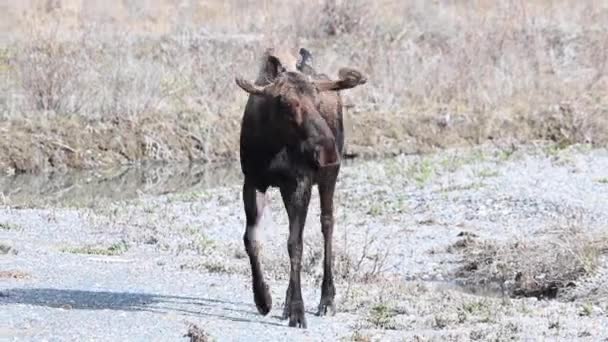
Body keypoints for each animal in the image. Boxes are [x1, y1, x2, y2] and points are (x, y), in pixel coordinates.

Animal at [234, 46, 366, 328]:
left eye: (317, 100)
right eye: (285, 103)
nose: (328, 152)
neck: (272, 146)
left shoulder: (300, 184)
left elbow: (295, 244)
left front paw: (297, 309)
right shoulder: (252, 182)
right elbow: (251, 239)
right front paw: (263, 299)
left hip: (328, 179)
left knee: (327, 223)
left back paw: (326, 299)